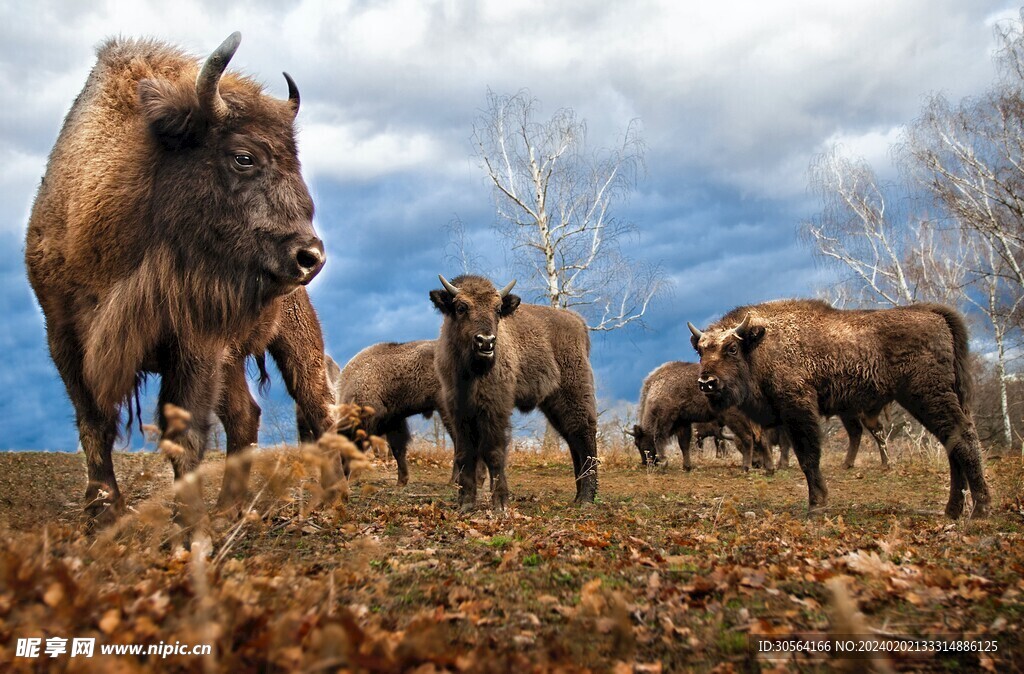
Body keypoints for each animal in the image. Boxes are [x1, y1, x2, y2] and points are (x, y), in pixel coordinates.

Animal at [24, 34, 331, 532]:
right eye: (243, 157)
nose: (310, 257)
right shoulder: (65, 336)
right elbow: (94, 422)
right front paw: (104, 511)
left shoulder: (194, 344)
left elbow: (184, 433)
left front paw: (189, 526)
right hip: (233, 359)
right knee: (245, 414)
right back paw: (229, 507)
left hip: (295, 338)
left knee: (318, 404)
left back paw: (332, 497)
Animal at [425, 272, 598, 510]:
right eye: (461, 307)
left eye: (498, 309)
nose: (486, 342)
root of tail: (578, 322)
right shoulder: (458, 411)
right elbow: (464, 453)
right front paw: (466, 503)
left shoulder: (495, 409)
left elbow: (493, 452)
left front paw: (500, 504)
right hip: (554, 405)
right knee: (573, 440)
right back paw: (578, 495)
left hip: (574, 395)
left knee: (585, 434)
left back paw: (587, 499)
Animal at [626, 360, 770, 469]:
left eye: (639, 443)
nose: (646, 463)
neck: (657, 387)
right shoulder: (684, 423)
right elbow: (684, 444)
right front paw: (687, 467)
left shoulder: (665, 419)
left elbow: (659, 438)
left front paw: (664, 463)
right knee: (759, 437)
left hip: (733, 418)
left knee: (747, 437)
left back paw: (747, 467)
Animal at [688, 297, 991, 514]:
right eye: (701, 351)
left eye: (732, 349)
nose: (707, 382)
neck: (760, 345)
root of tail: (933, 313)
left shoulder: (798, 409)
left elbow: (808, 457)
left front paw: (817, 503)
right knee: (953, 443)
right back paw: (953, 510)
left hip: (927, 396)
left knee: (962, 437)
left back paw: (980, 509)